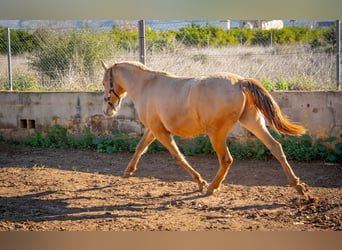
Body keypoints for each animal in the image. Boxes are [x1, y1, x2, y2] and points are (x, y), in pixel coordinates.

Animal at [100, 61, 314, 201]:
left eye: (104, 83)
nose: (107, 110)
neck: (147, 85)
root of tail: (240, 82)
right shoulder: (154, 129)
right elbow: (140, 147)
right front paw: (128, 172)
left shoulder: (160, 131)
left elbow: (177, 156)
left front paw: (200, 182)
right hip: (253, 122)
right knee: (275, 147)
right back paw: (299, 186)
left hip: (216, 133)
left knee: (226, 159)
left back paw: (212, 187)